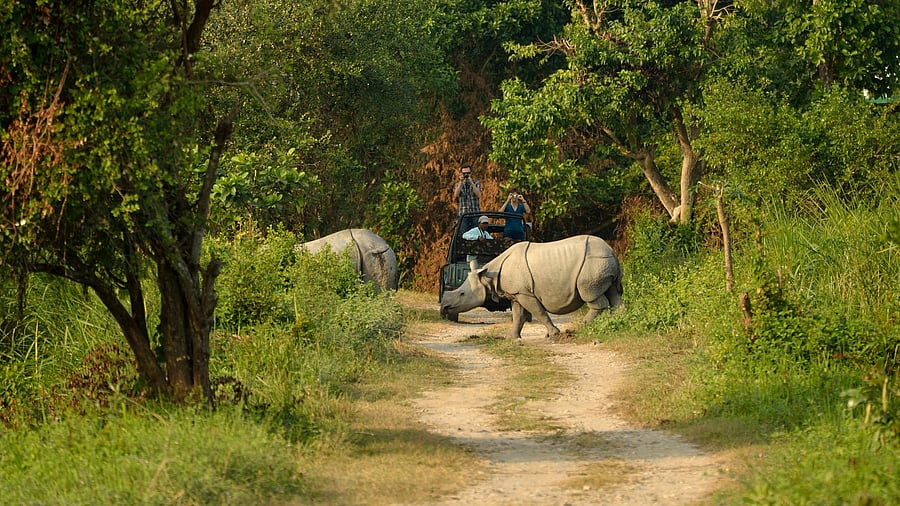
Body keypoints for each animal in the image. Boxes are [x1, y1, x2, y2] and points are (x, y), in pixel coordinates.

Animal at [440, 235, 623, 339]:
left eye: (462, 294)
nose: (444, 308)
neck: (488, 275)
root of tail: (612, 252)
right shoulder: (516, 293)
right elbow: (518, 316)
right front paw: (513, 338)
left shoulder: (524, 293)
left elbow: (539, 312)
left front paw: (553, 334)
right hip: (602, 264)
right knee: (613, 293)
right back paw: (616, 323)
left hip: (593, 263)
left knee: (592, 296)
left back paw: (577, 329)